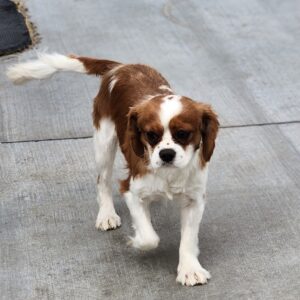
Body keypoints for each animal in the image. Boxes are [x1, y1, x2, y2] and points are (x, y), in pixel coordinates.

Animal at [6, 53, 218, 286]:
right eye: (151, 135)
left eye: (183, 134)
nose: (166, 154)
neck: (168, 173)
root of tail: (121, 67)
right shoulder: (131, 190)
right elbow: (149, 238)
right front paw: (136, 239)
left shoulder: (194, 200)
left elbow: (188, 239)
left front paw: (189, 269)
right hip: (104, 143)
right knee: (102, 181)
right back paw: (106, 214)